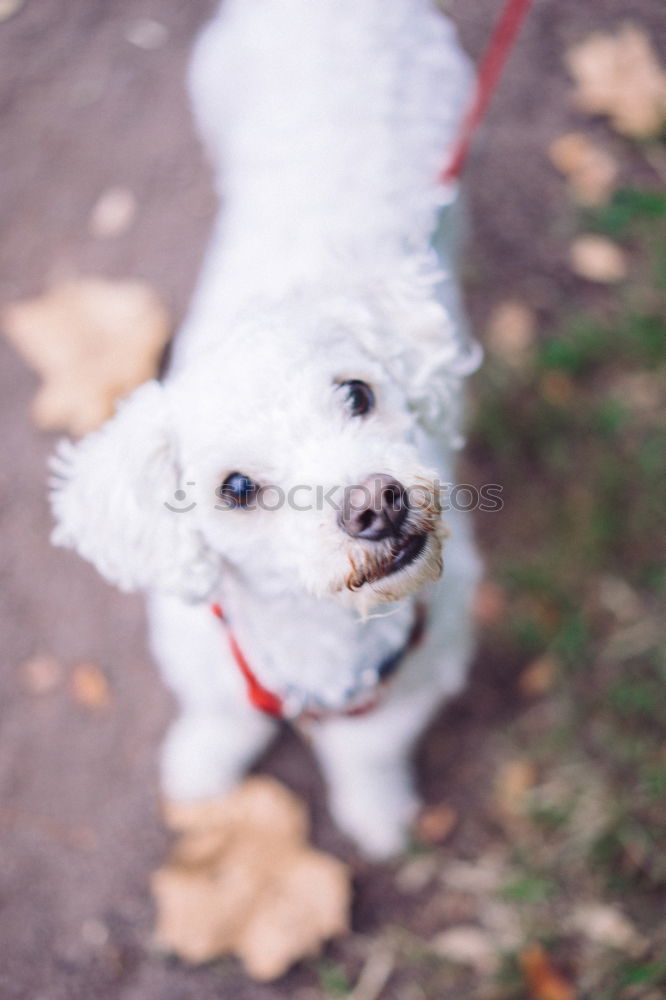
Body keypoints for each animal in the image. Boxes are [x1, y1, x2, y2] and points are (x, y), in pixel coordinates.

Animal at [50, 0, 478, 860]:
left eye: (357, 393)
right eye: (237, 487)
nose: (375, 503)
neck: (322, 643)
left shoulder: (422, 671)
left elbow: (367, 752)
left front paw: (377, 813)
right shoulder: (203, 654)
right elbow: (219, 715)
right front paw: (199, 767)